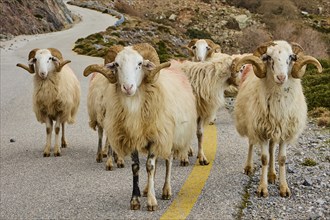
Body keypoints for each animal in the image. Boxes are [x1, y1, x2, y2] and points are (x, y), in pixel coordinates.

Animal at [82, 43, 197, 211]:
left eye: (140, 64)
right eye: (117, 64)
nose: (128, 87)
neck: (134, 107)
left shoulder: (157, 137)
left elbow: (150, 166)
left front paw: (152, 201)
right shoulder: (132, 138)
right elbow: (136, 167)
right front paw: (135, 200)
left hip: (170, 136)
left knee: (167, 161)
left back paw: (166, 190)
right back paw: (147, 189)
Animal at [233, 40, 324, 197]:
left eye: (292, 57)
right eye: (268, 57)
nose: (281, 77)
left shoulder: (284, 132)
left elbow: (281, 159)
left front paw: (284, 188)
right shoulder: (261, 131)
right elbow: (264, 158)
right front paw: (262, 188)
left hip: (274, 130)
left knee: (271, 148)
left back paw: (272, 175)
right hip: (250, 124)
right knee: (251, 143)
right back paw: (249, 167)